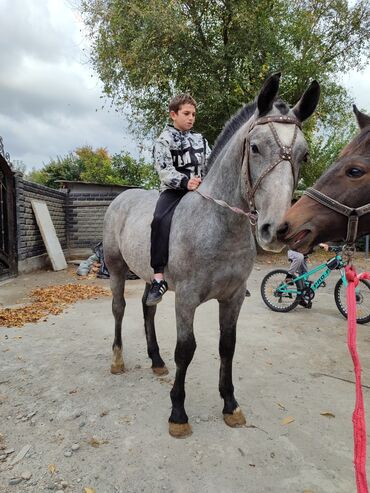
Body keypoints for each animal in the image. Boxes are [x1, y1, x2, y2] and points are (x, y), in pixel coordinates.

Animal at [102, 72, 320, 434]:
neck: (218, 224)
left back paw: (156, 360)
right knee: (119, 309)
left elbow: (227, 346)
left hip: (149, 276)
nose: (277, 230)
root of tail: (121, 198)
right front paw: (178, 413)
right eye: (255, 147)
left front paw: (230, 405)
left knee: (147, 308)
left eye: (303, 155)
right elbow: (186, 350)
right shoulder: (186, 298)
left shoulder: (232, 298)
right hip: (117, 269)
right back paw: (117, 360)